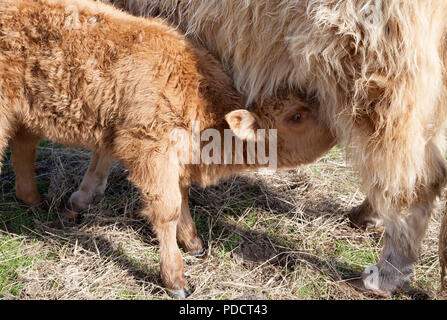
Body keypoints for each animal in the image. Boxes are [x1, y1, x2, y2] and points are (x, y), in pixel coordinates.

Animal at [0, 0, 336, 298]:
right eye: (297, 116)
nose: (336, 124)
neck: (200, 96)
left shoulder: (177, 160)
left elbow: (182, 197)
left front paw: (193, 243)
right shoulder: (152, 154)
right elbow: (168, 210)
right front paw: (175, 279)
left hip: (25, 114)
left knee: (24, 146)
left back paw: (34, 200)